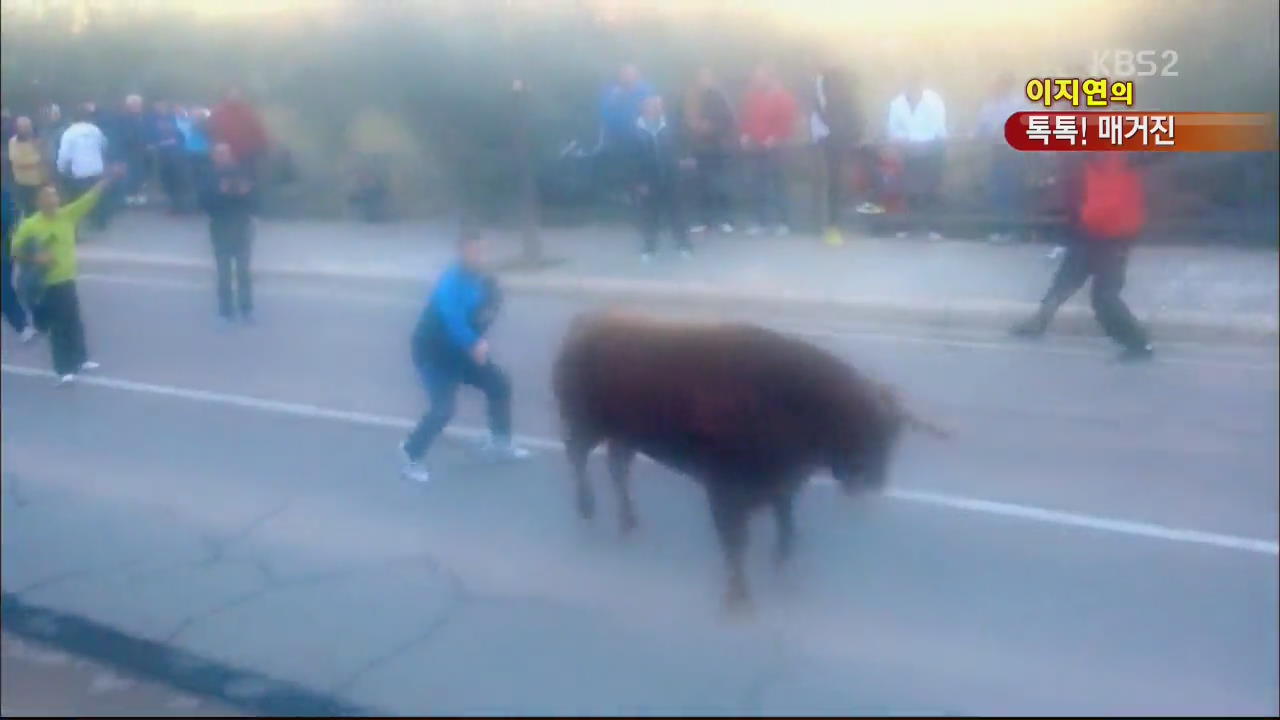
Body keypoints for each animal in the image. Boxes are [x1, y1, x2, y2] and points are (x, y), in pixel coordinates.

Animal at [552, 311, 952, 607]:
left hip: (623, 437)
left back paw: (628, 520)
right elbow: (736, 540)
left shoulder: (782, 488)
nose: (873, 480)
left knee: (617, 468)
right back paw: (588, 509)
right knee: (578, 456)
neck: (793, 401)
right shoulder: (725, 492)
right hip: (587, 427)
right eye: (863, 427)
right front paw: (738, 594)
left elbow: (786, 529)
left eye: (893, 436)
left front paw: (781, 568)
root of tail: (581, 325)